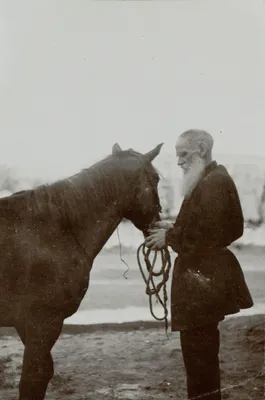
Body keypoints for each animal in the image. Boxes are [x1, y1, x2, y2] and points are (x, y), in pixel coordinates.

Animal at [0, 142, 163, 398]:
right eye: (156, 178)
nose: (158, 225)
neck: (55, 231)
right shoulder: (42, 323)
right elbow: (33, 379)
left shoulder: (26, 325)